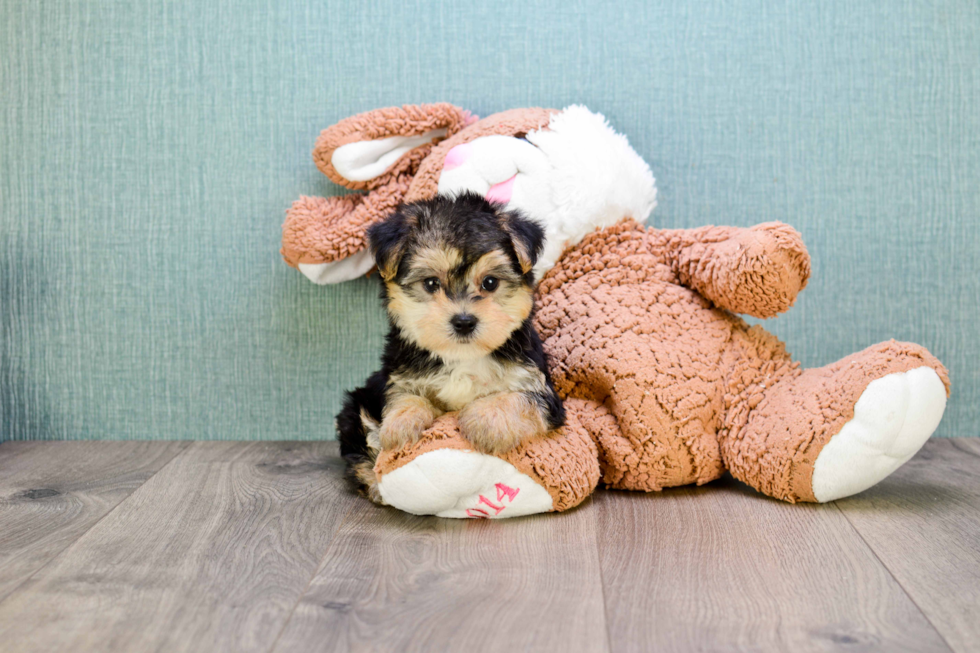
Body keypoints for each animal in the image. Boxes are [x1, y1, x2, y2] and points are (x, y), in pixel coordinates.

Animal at [338, 191, 564, 502]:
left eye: (490, 282)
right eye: (431, 283)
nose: (464, 321)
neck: (462, 357)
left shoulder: (537, 384)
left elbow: (518, 399)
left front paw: (484, 420)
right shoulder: (400, 375)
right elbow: (404, 395)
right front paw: (401, 423)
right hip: (355, 406)